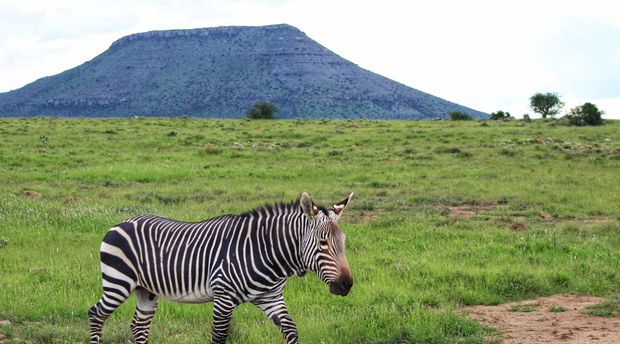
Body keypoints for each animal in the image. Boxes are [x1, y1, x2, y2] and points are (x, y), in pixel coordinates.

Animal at [89, 192, 356, 342]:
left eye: (343, 242)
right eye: (323, 243)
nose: (346, 285)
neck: (265, 252)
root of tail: (123, 221)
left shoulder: (270, 298)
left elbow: (291, 330)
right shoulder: (223, 297)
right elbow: (219, 337)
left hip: (146, 290)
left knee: (139, 327)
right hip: (118, 282)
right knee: (96, 314)